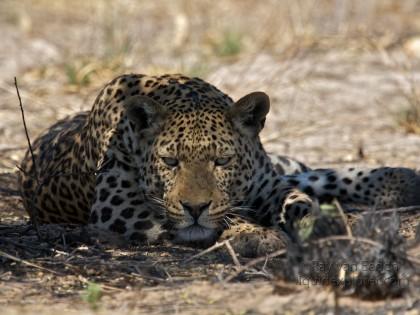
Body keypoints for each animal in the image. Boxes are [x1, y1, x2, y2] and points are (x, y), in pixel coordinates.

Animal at [18, 73, 420, 256]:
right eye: (170, 161)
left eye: (222, 160)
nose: (195, 207)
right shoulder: (116, 207)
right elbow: (201, 219)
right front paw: (253, 234)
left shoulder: (266, 183)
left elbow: (297, 197)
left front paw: (316, 221)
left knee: (306, 173)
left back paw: (398, 180)